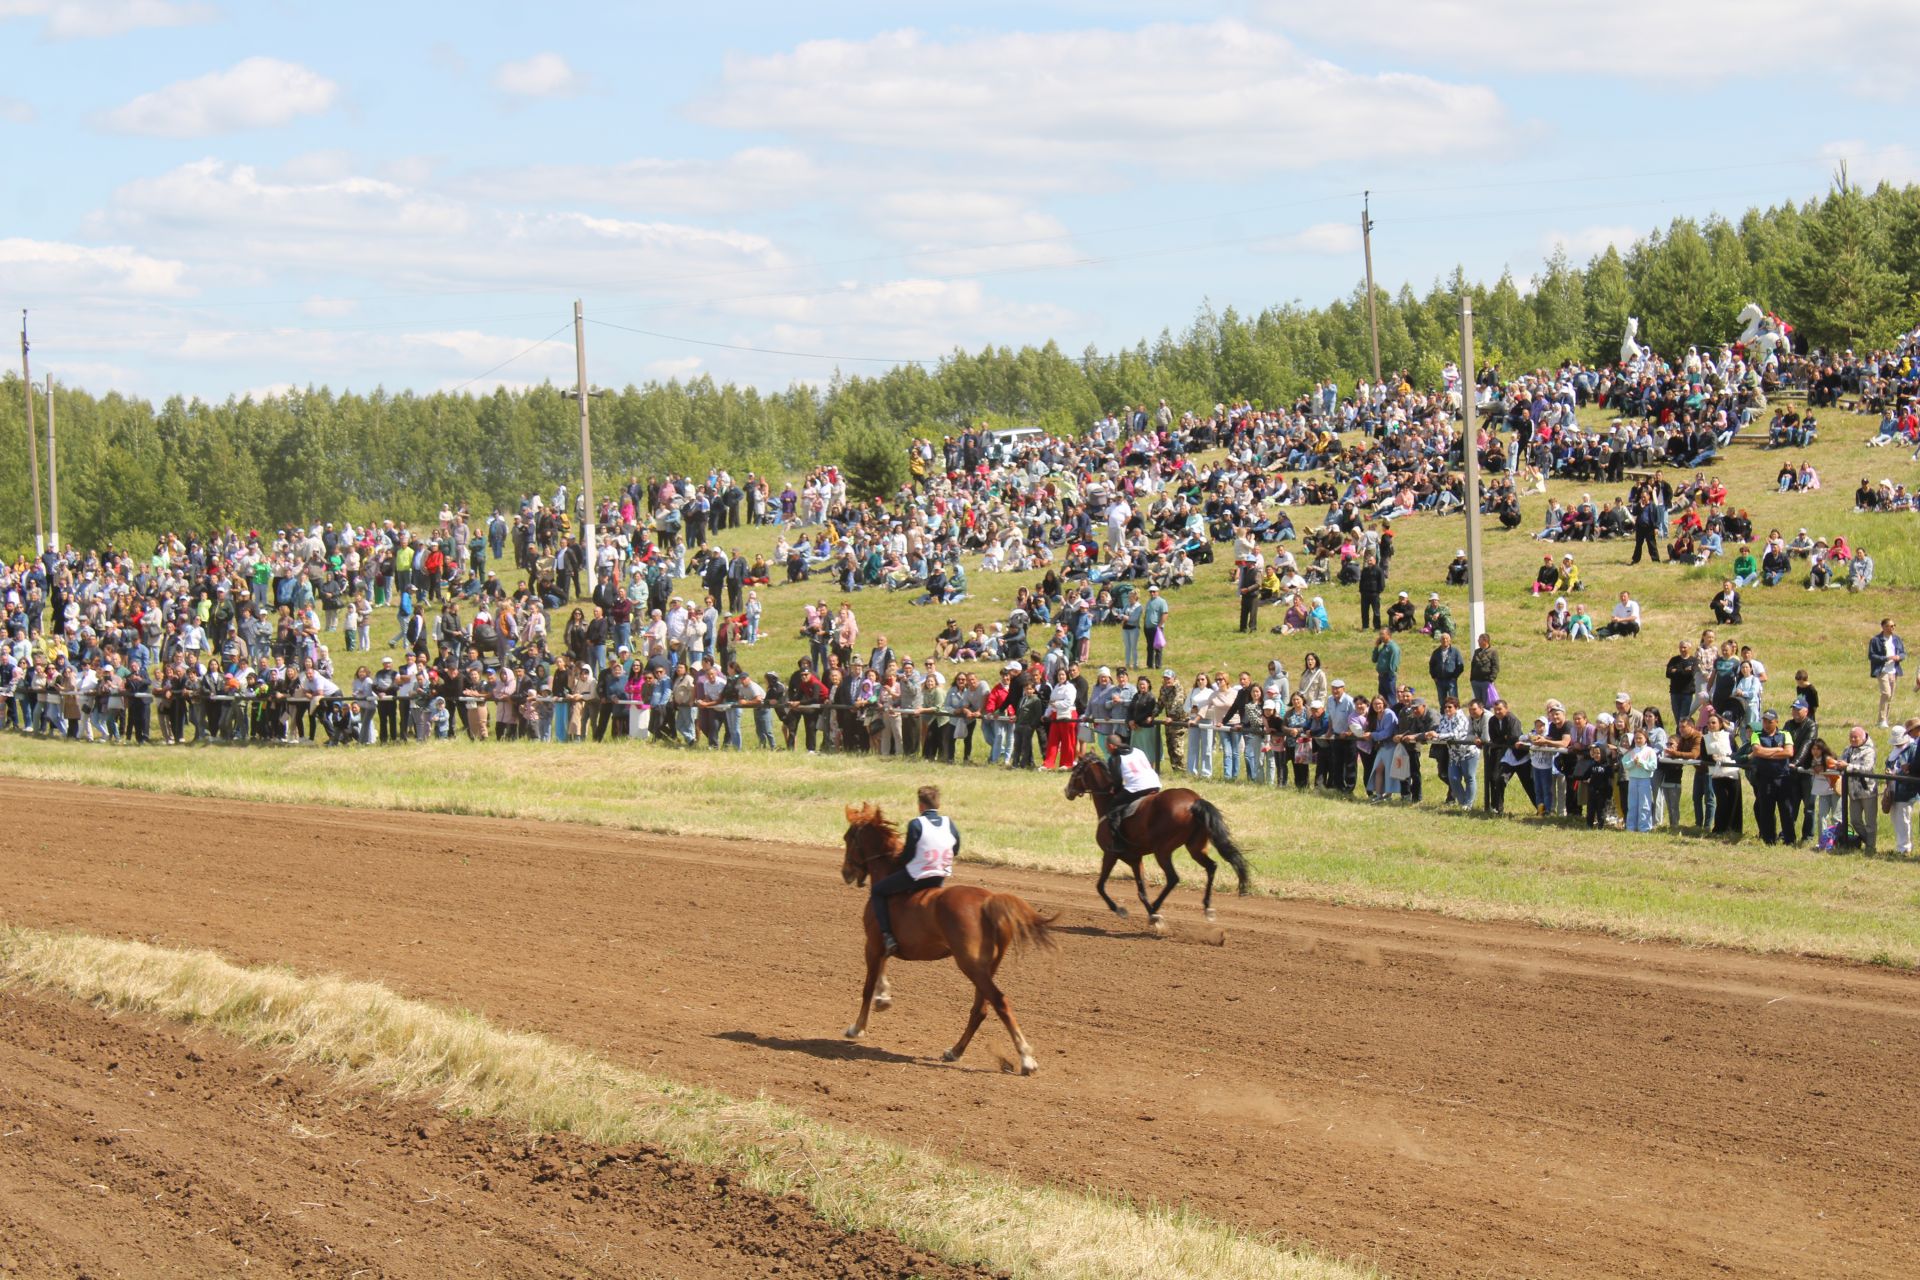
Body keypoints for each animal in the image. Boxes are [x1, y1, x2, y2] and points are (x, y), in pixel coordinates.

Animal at [837, 809, 1052, 1074]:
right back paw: (955, 1051)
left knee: (1000, 1002)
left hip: (971, 965)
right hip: (985, 968)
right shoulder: (882, 946)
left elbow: (867, 987)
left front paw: (857, 1028)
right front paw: (883, 997)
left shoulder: (873, 944)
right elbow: (882, 969)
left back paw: (1026, 1058)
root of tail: (988, 900)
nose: (846, 873)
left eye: (849, 838)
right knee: (980, 1009)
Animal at [1059, 752, 1251, 932]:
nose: (1067, 791)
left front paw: (1123, 910)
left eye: (1075, 771)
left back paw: (1157, 907)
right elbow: (1141, 891)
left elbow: (1100, 886)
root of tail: (1194, 801)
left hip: (1163, 850)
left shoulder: (1110, 853)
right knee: (1211, 867)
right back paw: (1207, 907)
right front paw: (1152, 915)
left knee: (1173, 878)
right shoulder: (1135, 859)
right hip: (1195, 847)